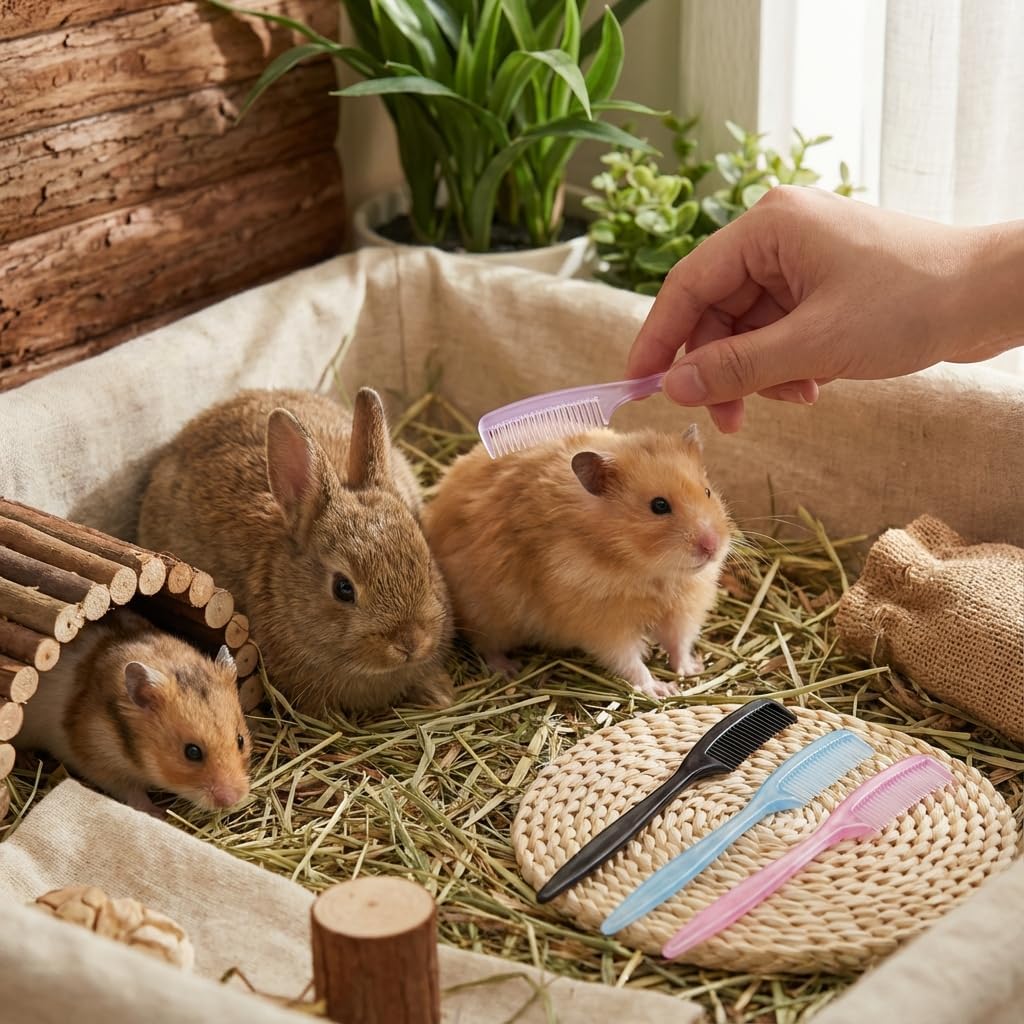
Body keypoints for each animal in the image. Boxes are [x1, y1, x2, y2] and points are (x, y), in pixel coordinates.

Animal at [14, 610, 251, 816]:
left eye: (240, 740)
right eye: (192, 752)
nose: (232, 800)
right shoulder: (100, 761)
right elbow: (132, 792)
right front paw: (158, 813)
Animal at [421, 425, 732, 698]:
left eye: (707, 492)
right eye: (659, 506)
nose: (712, 546)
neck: (653, 571)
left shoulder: (682, 608)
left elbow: (679, 641)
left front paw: (691, 670)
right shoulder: (603, 623)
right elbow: (629, 661)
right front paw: (661, 690)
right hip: (487, 615)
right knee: (487, 646)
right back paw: (509, 669)